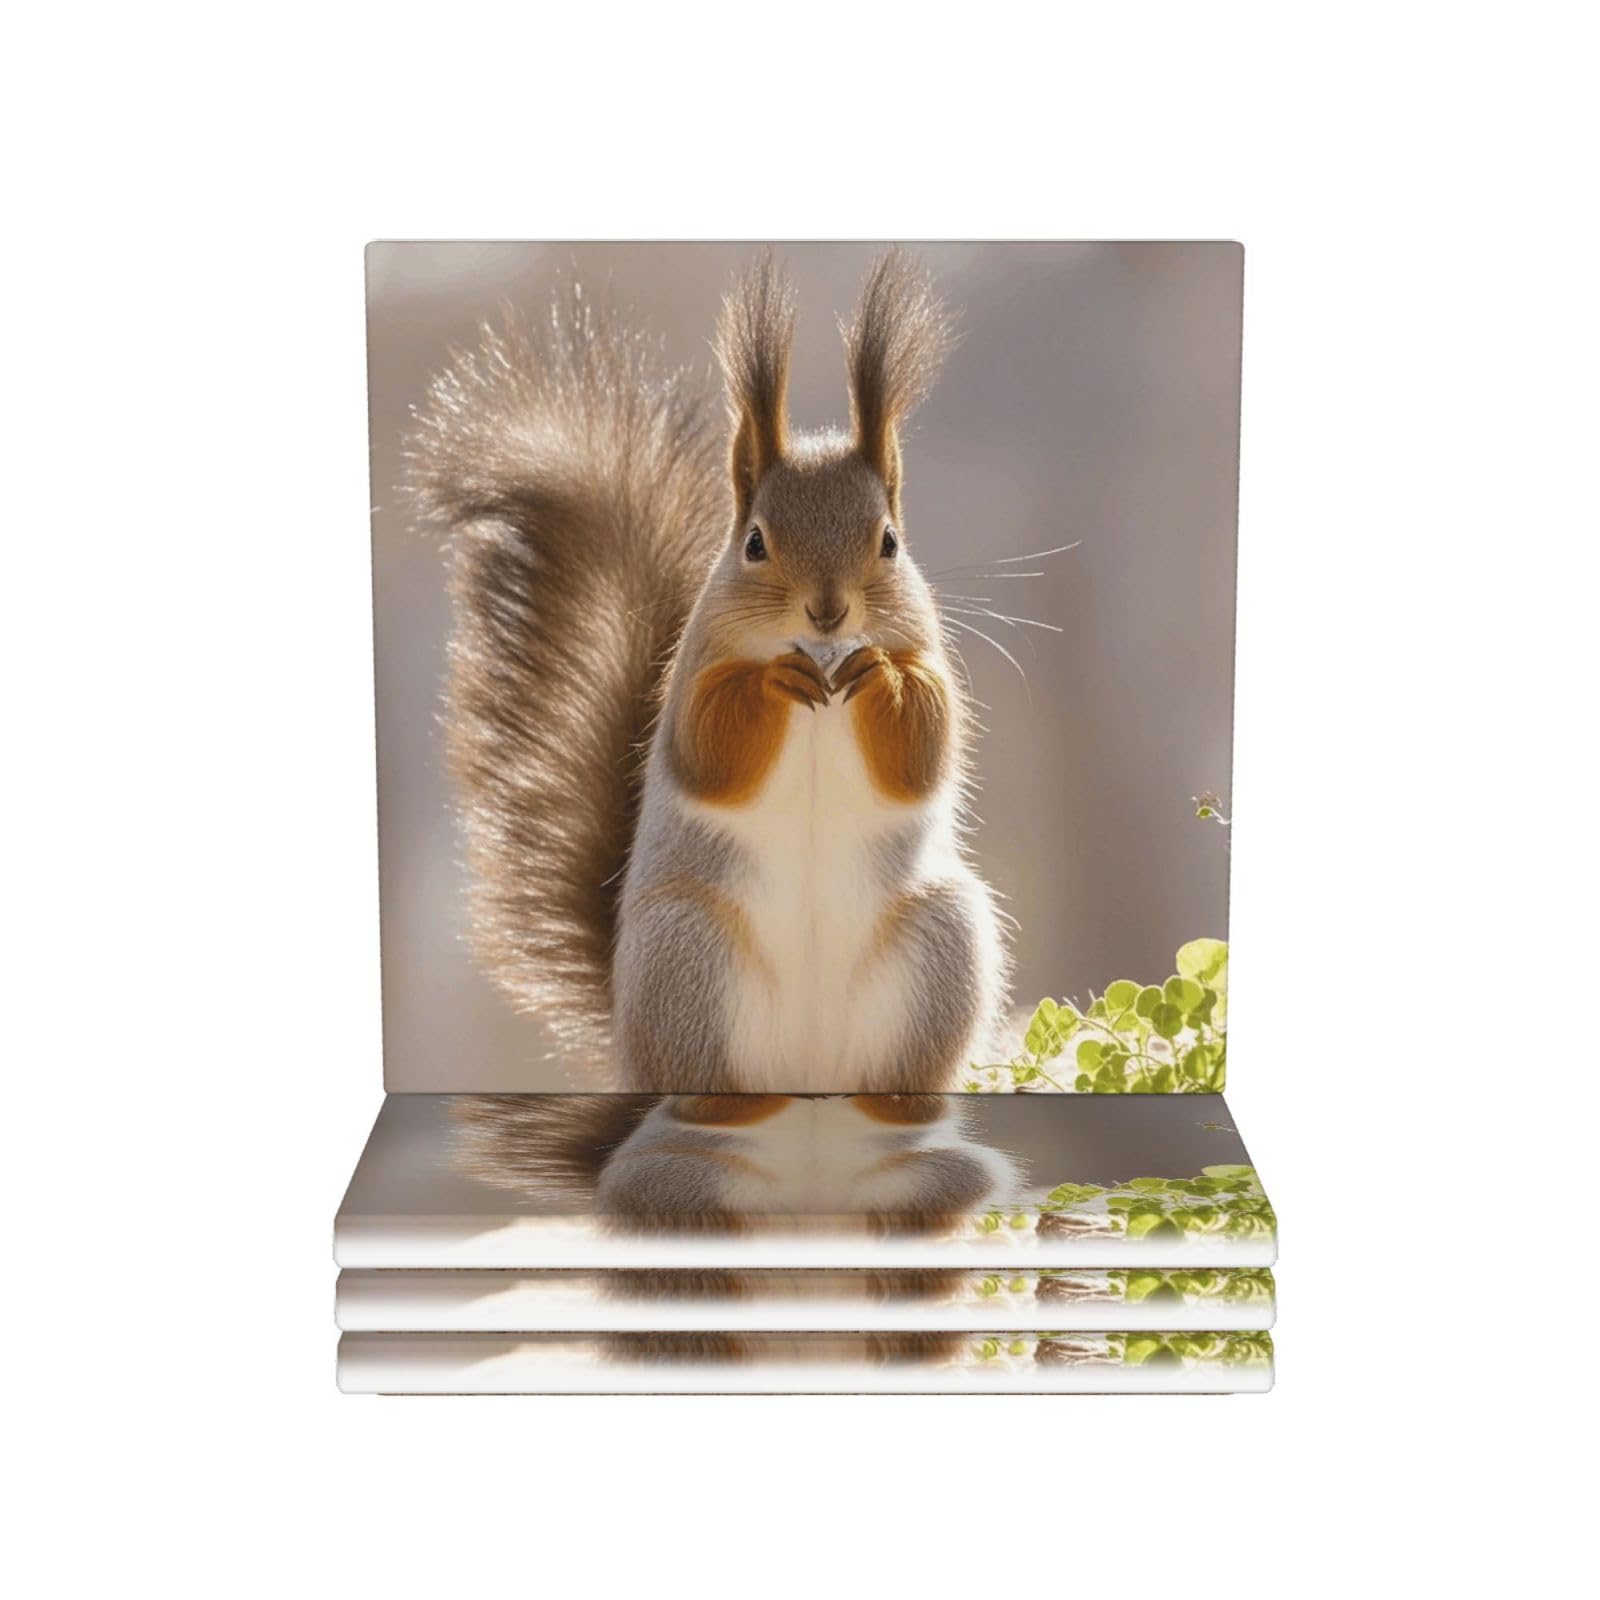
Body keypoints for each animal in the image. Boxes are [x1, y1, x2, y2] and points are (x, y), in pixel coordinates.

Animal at [412, 250, 1007, 1093]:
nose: (828, 613)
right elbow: (707, 751)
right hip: (684, 951)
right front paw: (773, 683)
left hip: (942, 936)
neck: (823, 662)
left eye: (889, 541)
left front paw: (882, 679)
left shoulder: (928, 658)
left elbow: (925, 747)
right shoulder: (692, 675)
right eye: (755, 542)